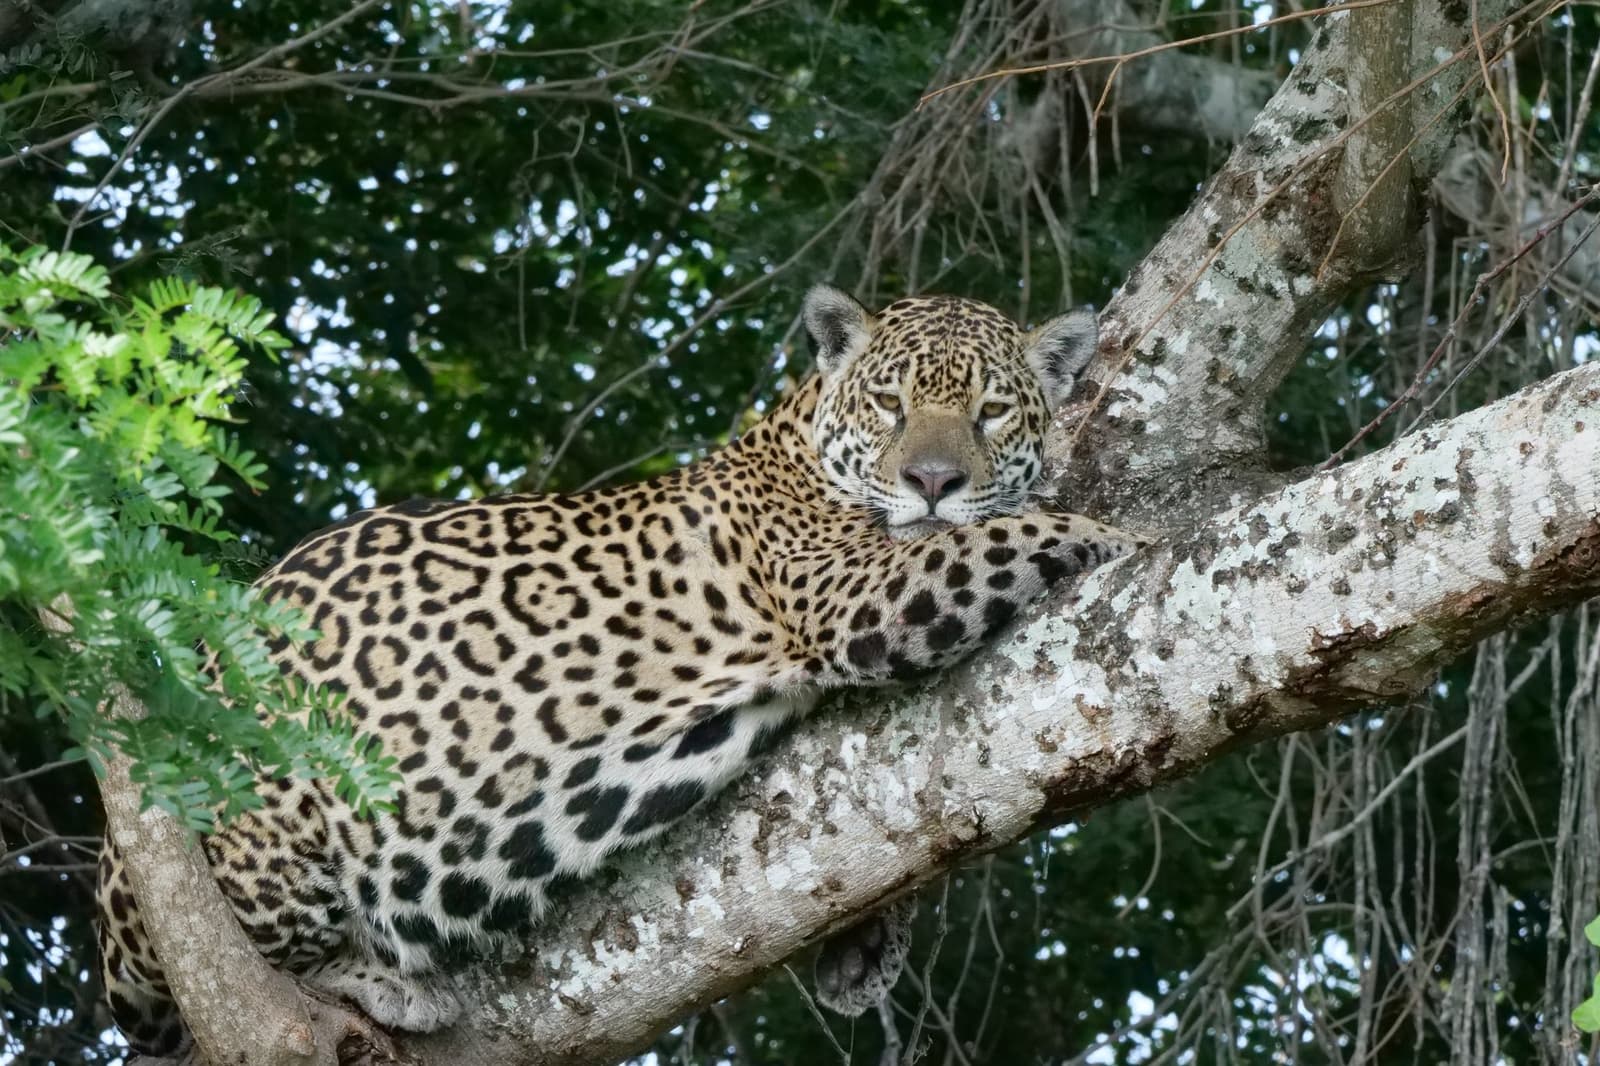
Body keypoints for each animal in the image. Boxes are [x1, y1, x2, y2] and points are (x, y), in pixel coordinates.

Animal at [96, 285, 1148, 1056]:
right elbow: (1014, 531)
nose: (934, 481)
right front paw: (1131, 538)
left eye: (990, 411)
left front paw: (867, 953)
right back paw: (381, 983)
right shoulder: (855, 588)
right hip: (258, 814)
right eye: (891, 406)